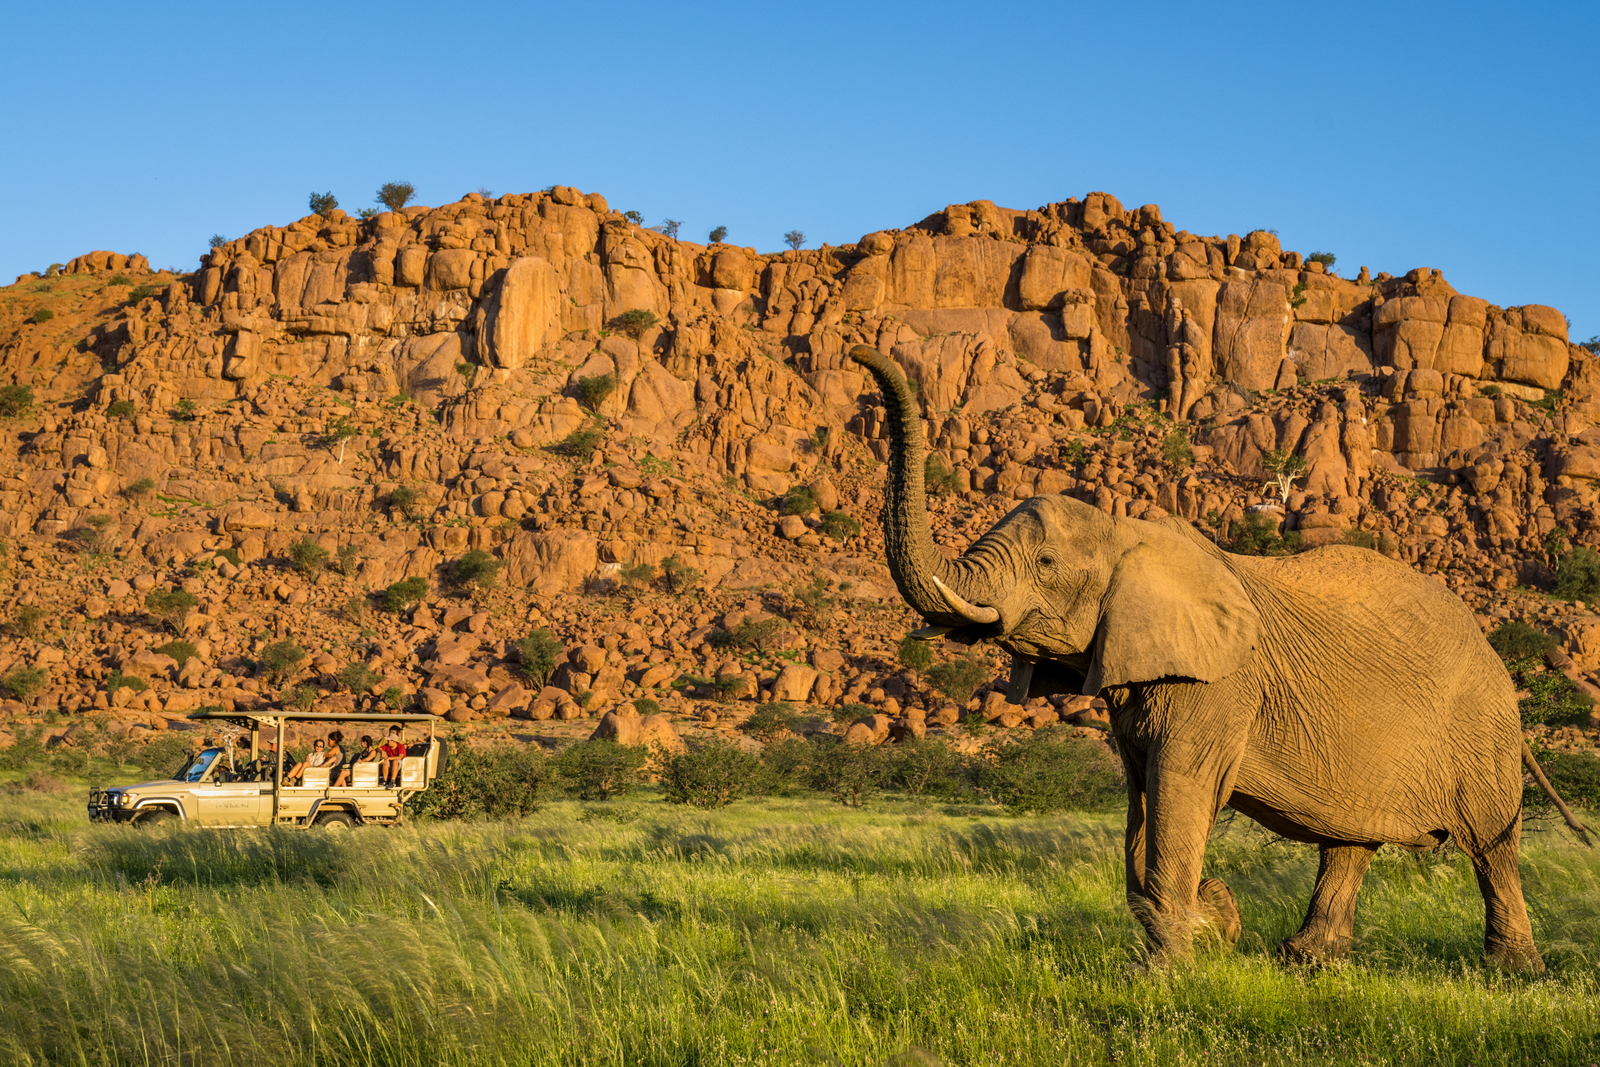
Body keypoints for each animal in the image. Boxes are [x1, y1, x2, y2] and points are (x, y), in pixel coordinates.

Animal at [848, 343, 1564, 971]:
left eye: (1046, 564)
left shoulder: (1217, 686)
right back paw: (1307, 963)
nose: (859, 351)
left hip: (1480, 735)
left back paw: (1514, 972)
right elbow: (1141, 799)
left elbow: (1178, 788)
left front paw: (1167, 970)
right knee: (1351, 842)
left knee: (1493, 847)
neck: (1130, 532)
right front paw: (1204, 927)